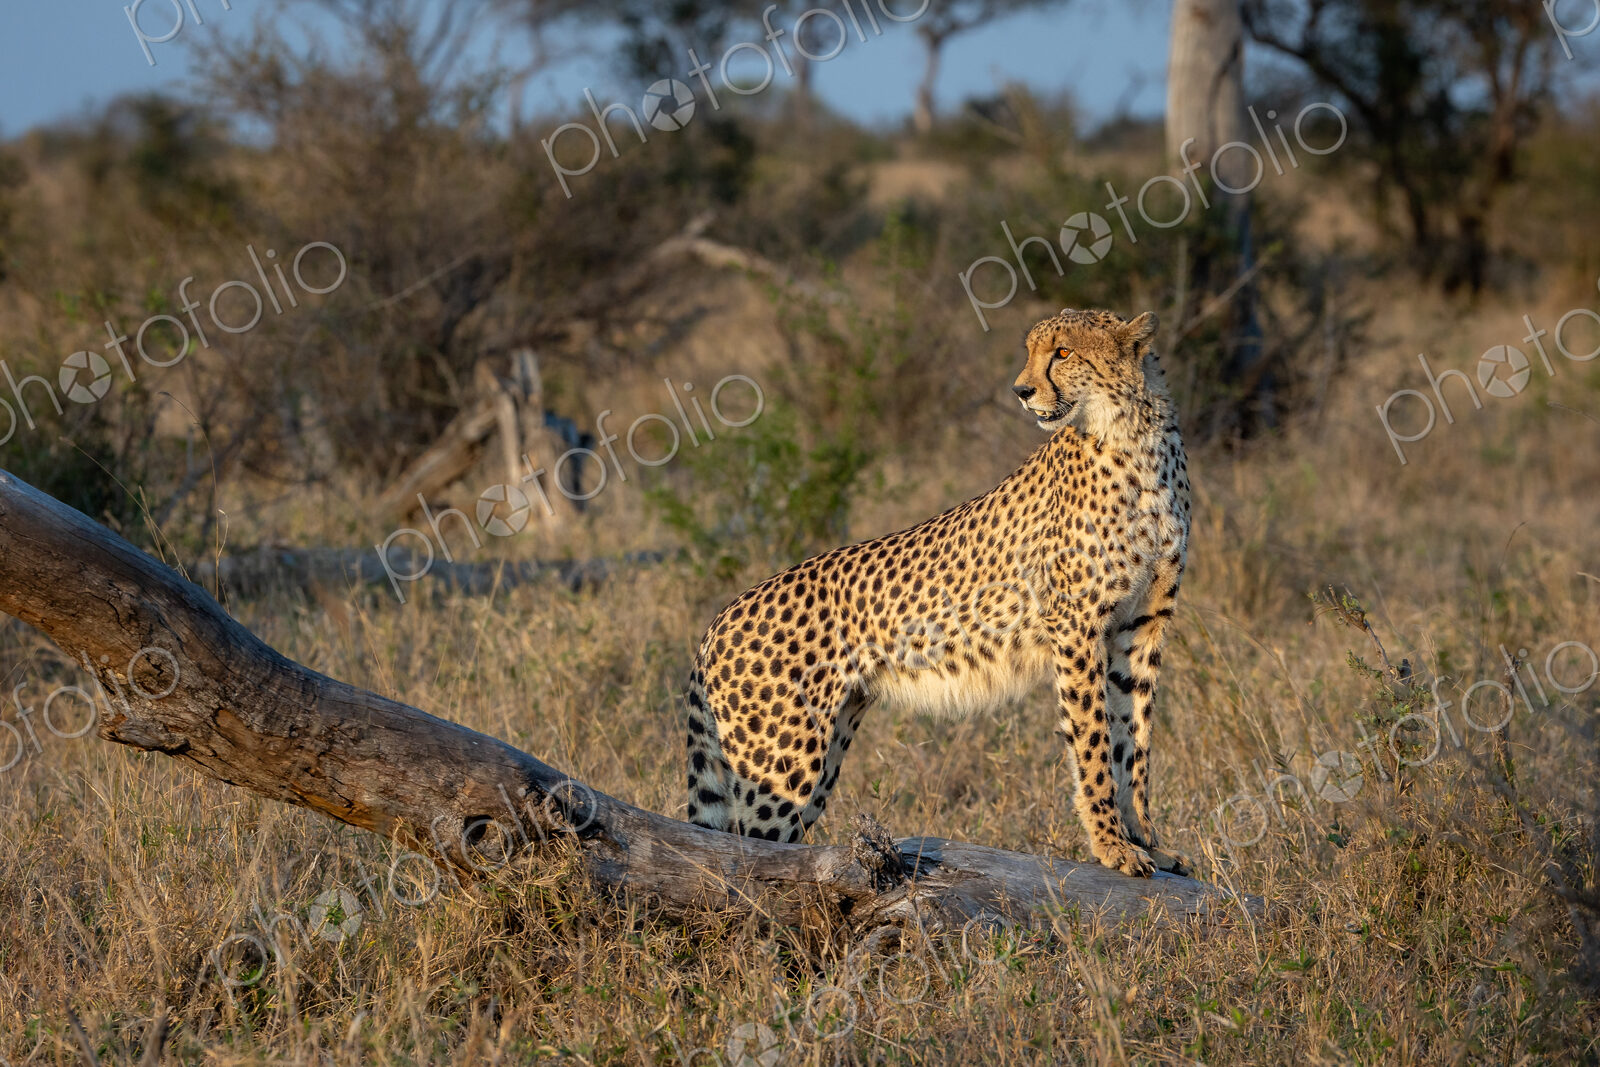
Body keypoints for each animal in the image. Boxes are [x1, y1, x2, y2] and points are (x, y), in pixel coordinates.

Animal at [682, 308, 1192, 877]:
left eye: (1063, 352)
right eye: (1032, 351)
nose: (1021, 390)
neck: (1132, 436)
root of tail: (720, 617)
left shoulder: (1141, 625)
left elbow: (1134, 741)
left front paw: (1147, 841)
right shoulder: (1076, 626)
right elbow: (1094, 744)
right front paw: (1111, 846)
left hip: (822, 752)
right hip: (780, 763)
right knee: (739, 861)